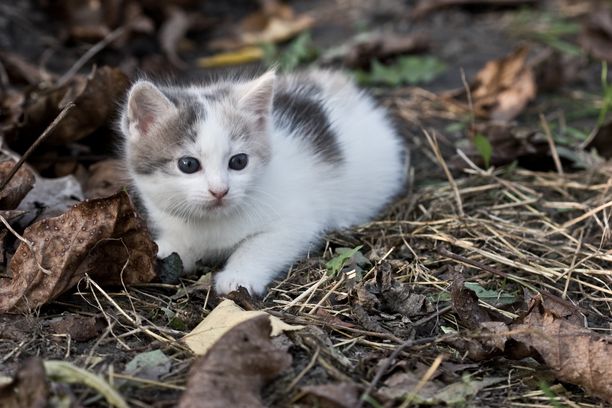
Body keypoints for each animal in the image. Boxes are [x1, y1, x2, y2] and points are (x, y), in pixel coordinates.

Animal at [119, 69, 406, 294]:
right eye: (188, 165)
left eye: (238, 162)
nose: (219, 191)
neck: (211, 224)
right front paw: (158, 253)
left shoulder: (297, 220)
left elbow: (259, 245)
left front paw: (238, 277)